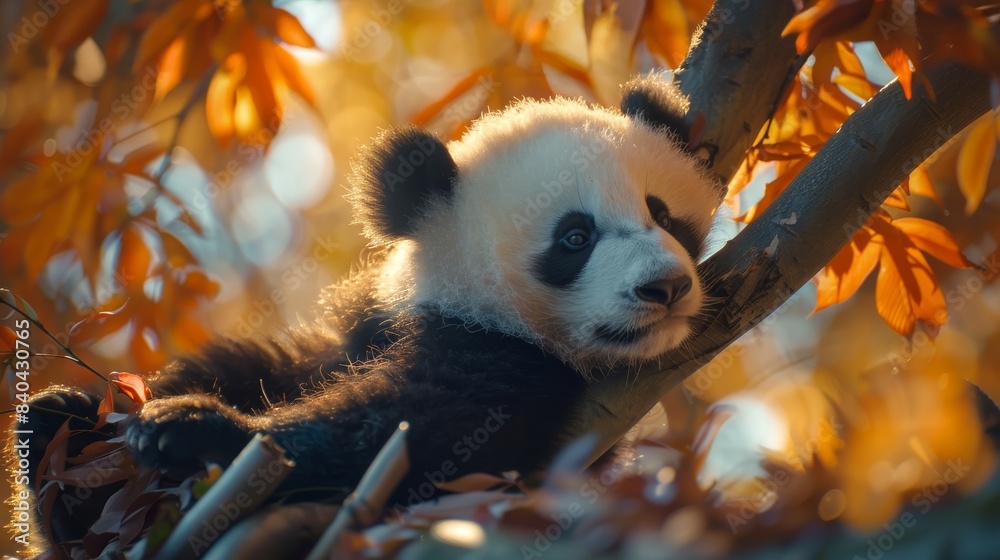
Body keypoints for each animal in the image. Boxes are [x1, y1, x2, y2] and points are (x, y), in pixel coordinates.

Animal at [24, 75, 722, 545]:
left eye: (663, 215)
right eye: (575, 238)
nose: (665, 288)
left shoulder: (512, 381)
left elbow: (407, 441)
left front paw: (193, 429)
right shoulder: (374, 319)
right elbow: (268, 365)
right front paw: (75, 416)